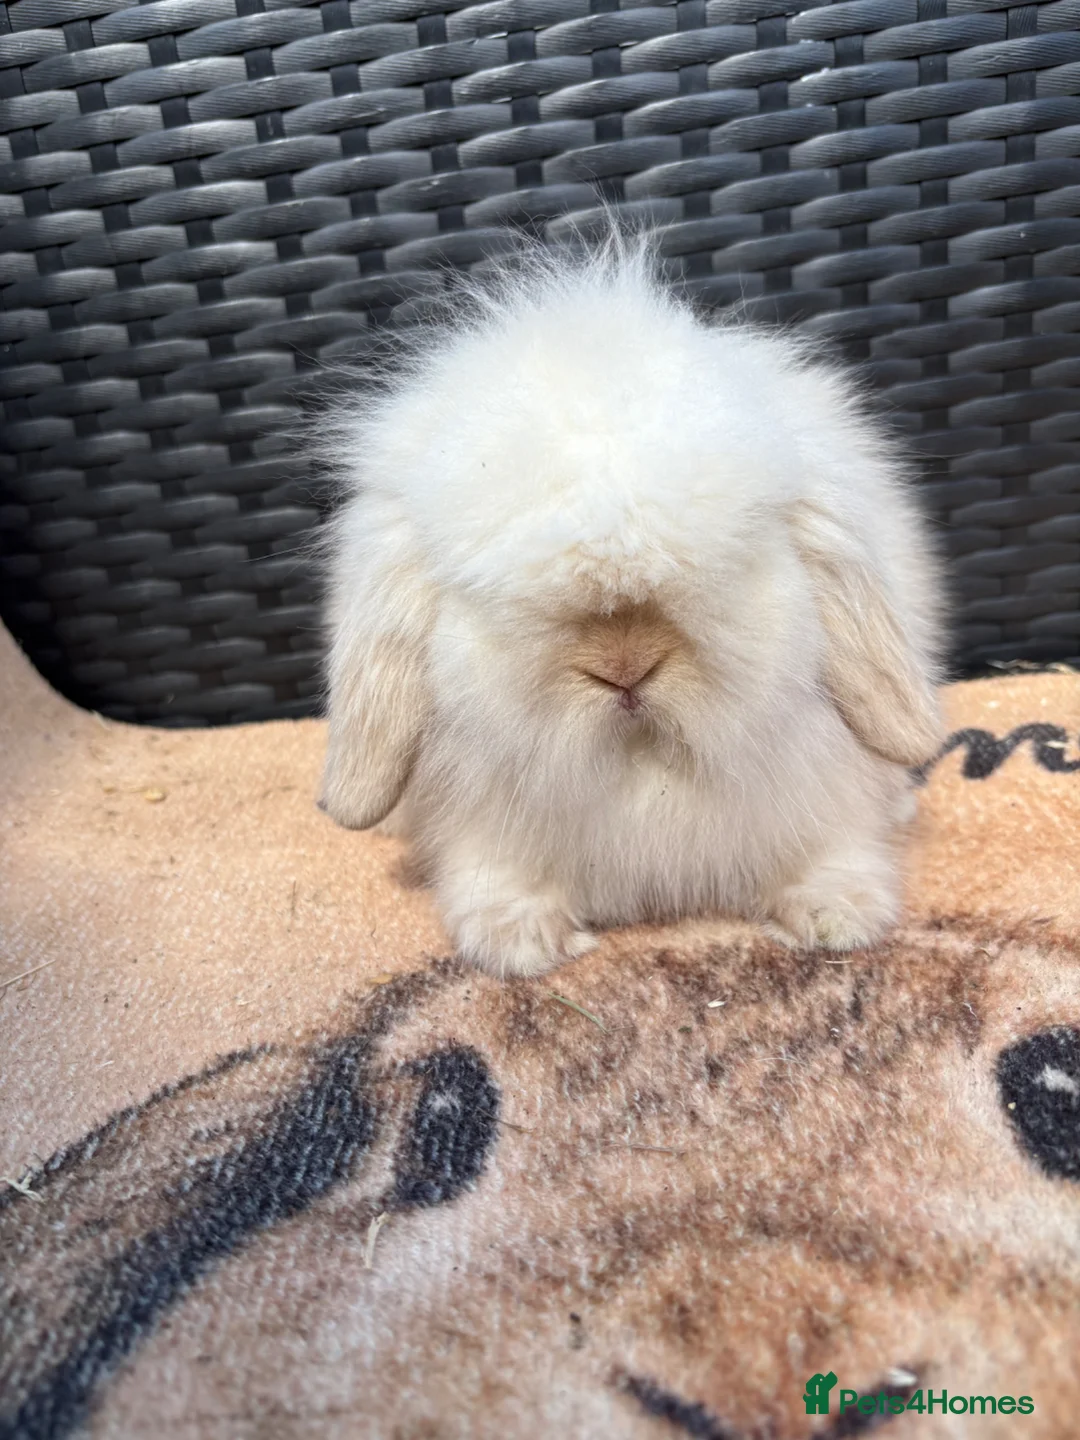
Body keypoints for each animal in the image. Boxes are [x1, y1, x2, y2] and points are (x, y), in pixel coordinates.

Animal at [315, 233, 946, 978]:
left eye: (737, 556)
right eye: (485, 591)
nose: (624, 670)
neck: (642, 767)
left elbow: (828, 853)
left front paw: (838, 919)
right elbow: (499, 882)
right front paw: (519, 943)